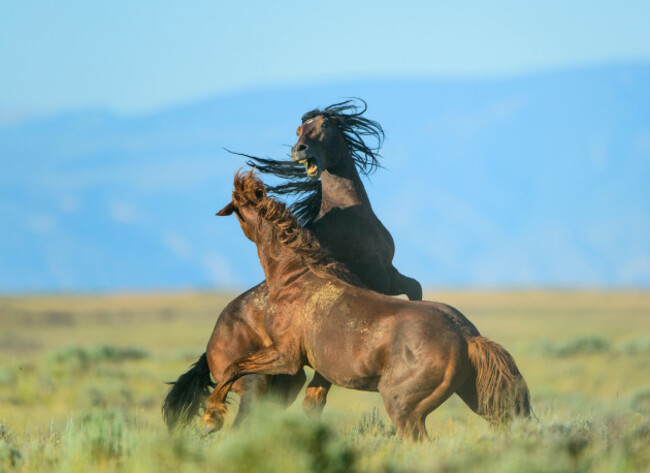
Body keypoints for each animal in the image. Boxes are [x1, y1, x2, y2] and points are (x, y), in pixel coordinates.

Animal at [163, 101, 426, 429]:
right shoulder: (380, 277)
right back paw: (213, 418)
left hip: (285, 382)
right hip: (257, 382)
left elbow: (415, 288)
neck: (349, 216)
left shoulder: (389, 274)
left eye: (323, 126)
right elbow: (413, 288)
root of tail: (209, 349)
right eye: (299, 130)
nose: (299, 150)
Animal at [202, 171, 531, 441]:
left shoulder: (286, 357)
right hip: (477, 398)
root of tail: (466, 336)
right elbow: (311, 400)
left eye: (237, 209)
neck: (295, 278)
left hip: (404, 408)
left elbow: (234, 366)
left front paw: (211, 417)